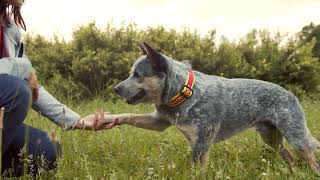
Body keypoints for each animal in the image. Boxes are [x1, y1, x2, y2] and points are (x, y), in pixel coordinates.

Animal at [110, 42, 320, 174]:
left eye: (137, 75)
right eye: (130, 73)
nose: (116, 89)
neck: (184, 93)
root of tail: (292, 95)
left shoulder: (201, 142)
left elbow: (197, 170)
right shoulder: (159, 121)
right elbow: (129, 115)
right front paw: (109, 118)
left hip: (296, 136)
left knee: (312, 160)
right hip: (270, 137)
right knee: (289, 156)